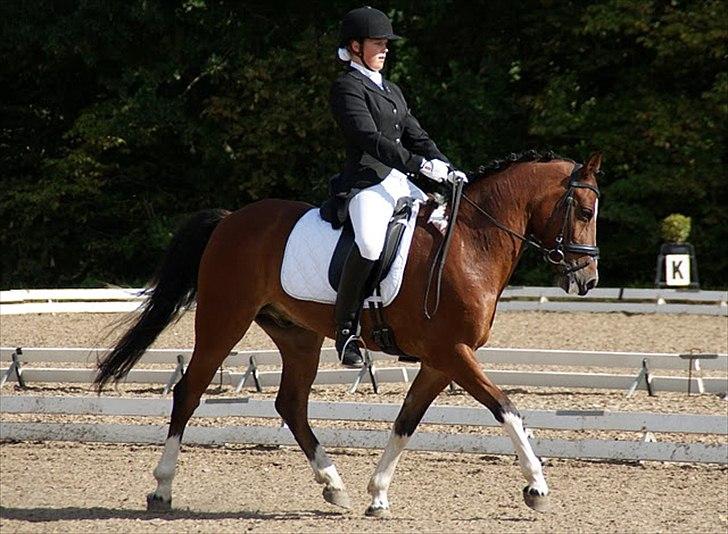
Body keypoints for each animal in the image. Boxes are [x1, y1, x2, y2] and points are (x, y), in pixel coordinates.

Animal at [94, 150, 602, 517]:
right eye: (583, 210)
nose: (587, 280)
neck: (469, 243)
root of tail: (231, 218)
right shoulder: (453, 352)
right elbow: (506, 408)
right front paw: (536, 486)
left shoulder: (440, 361)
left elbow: (406, 420)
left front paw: (377, 494)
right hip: (224, 321)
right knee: (190, 391)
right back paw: (162, 489)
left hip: (298, 336)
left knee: (291, 405)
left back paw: (333, 483)